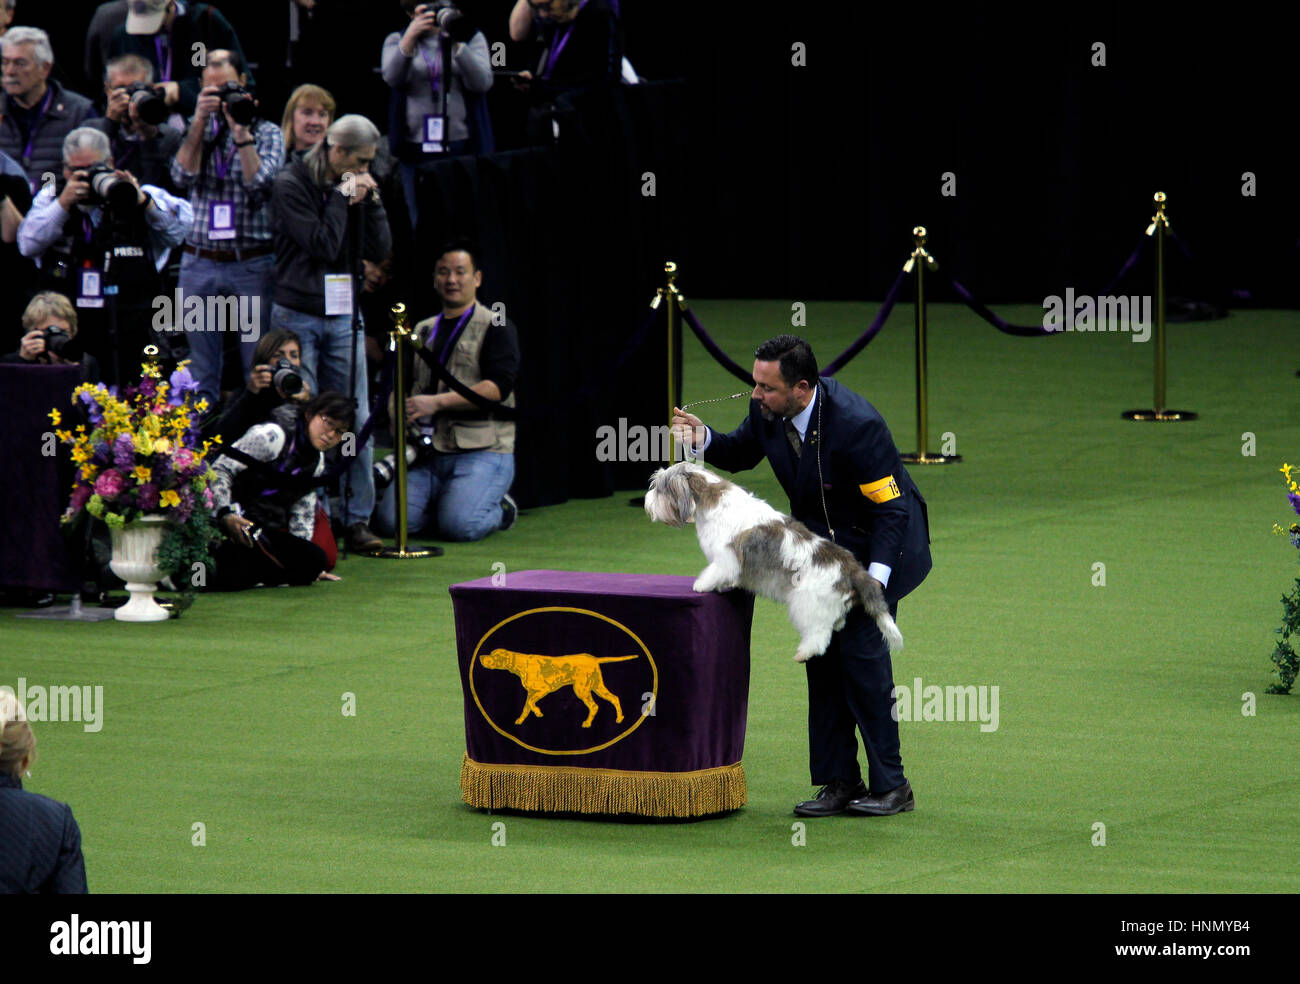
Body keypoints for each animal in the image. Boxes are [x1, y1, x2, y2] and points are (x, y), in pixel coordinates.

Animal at [642, 460, 904, 660]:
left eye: (659, 489)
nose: (646, 502)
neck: (710, 499)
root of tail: (851, 567)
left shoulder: (726, 557)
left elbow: (715, 571)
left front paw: (701, 585)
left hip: (807, 603)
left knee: (819, 634)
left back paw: (804, 652)